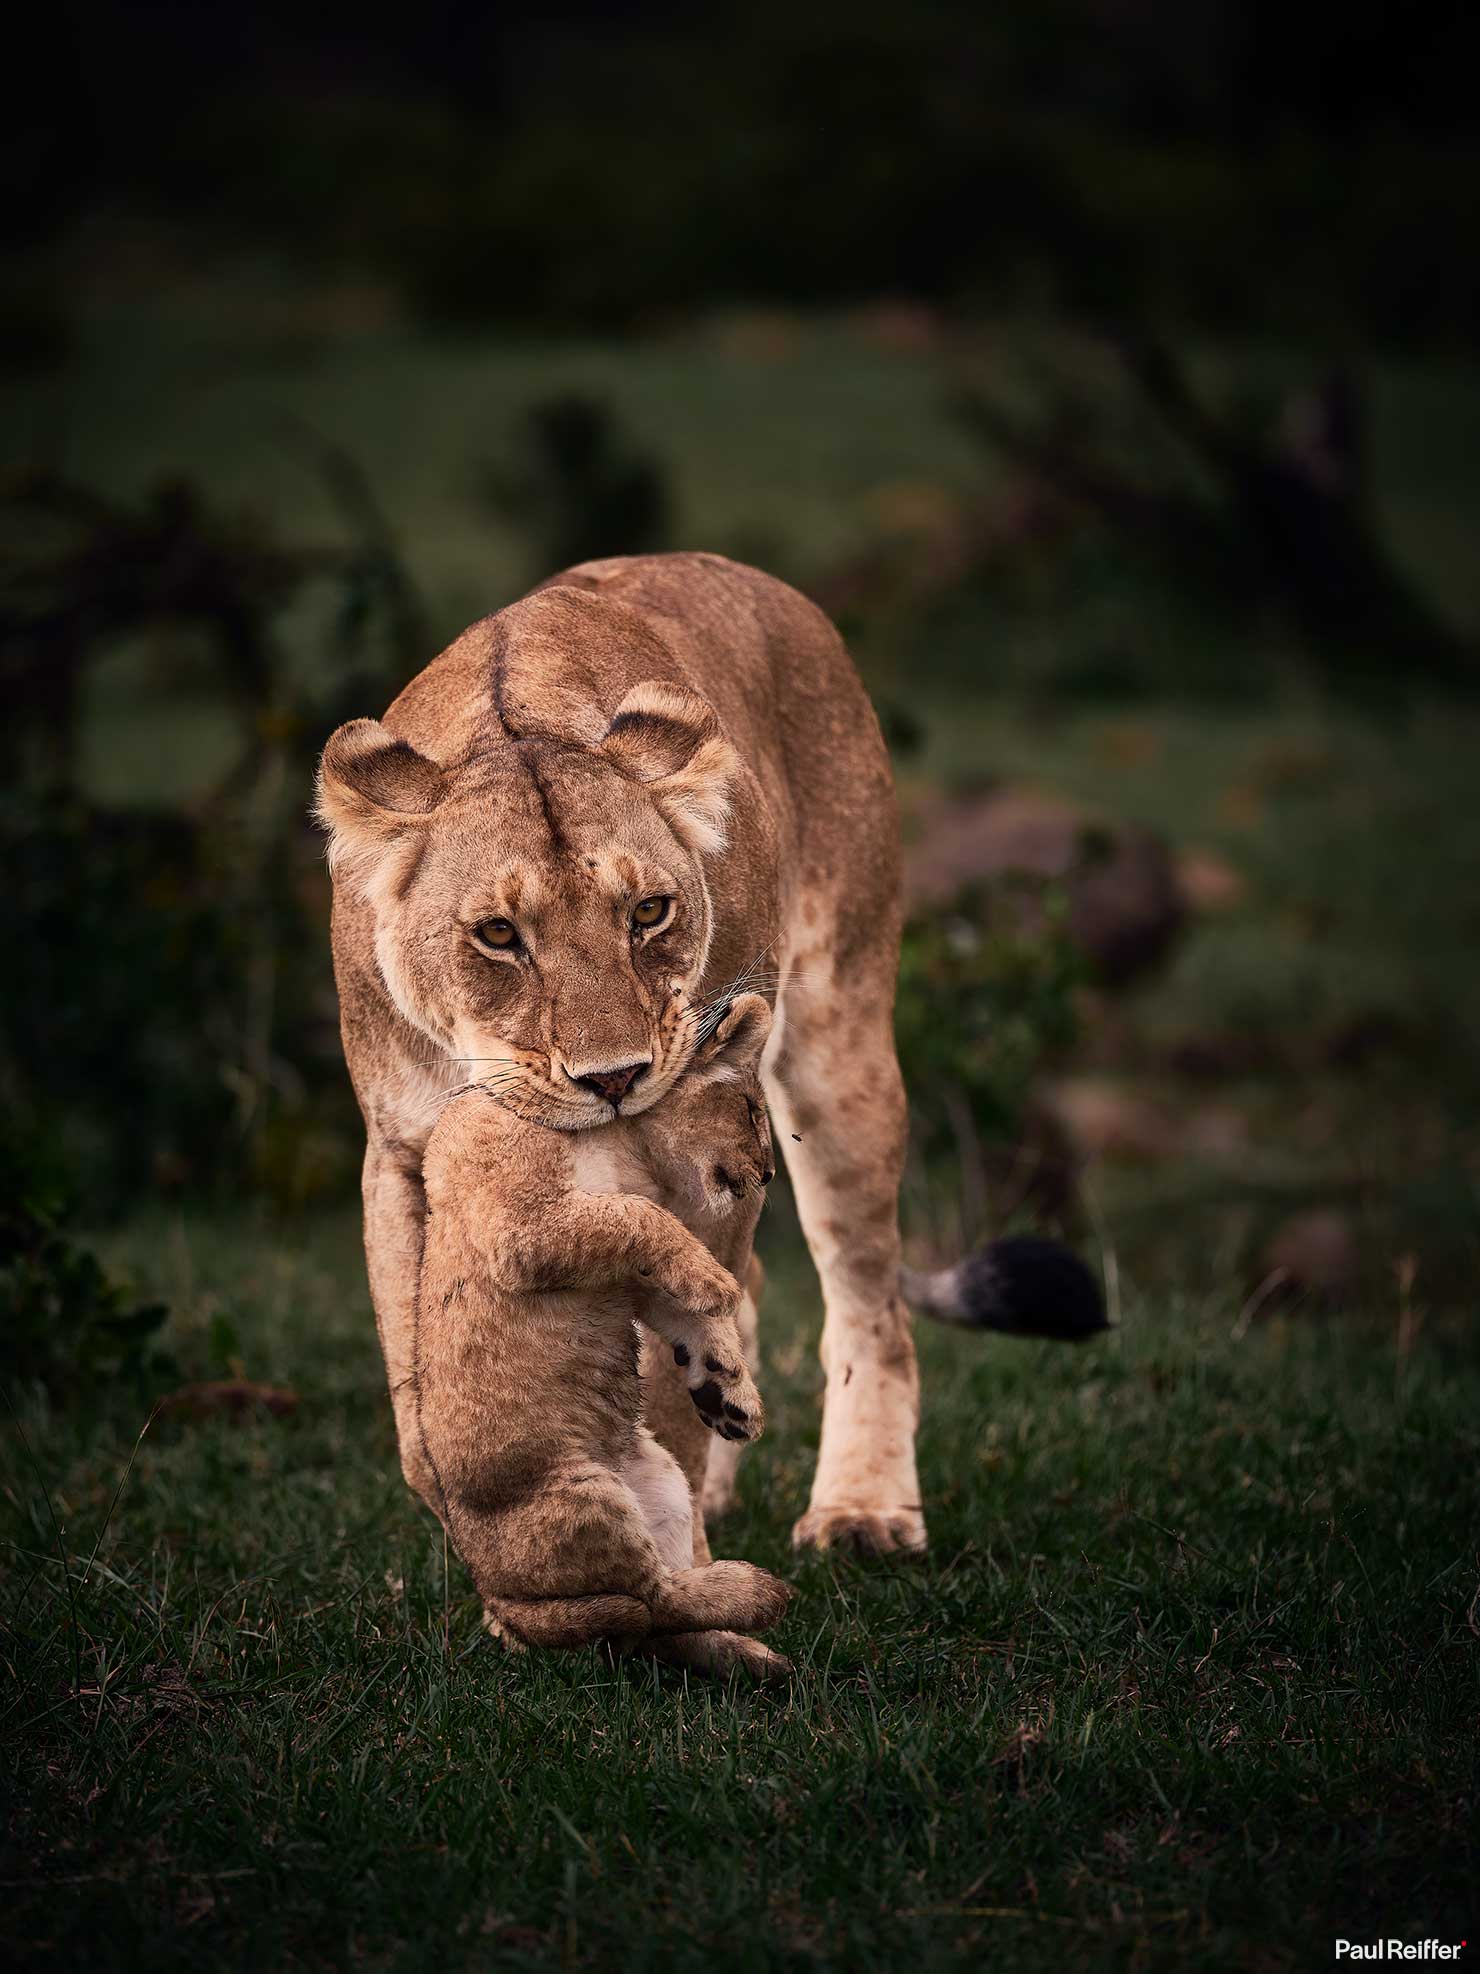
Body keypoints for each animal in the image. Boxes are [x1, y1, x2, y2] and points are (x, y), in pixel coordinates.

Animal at [318, 552, 1103, 1560]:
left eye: (649, 912)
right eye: (497, 935)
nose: (614, 1080)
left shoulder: (711, 1166)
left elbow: (676, 1367)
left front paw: (661, 1528)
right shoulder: (401, 1150)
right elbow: (416, 1356)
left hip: (839, 1047)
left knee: (869, 1303)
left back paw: (861, 1511)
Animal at [415, 991, 790, 1676]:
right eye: (752, 1112)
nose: (773, 1173)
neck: (623, 1144)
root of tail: (505, 1607)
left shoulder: (619, 1276)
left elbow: (682, 1309)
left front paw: (729, 1394)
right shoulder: (522, 1228)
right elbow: (639, 1216)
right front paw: (717, 1279)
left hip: (664, 1486)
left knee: (662, 1626)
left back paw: (748, 1657)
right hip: (580, 1494)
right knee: (648, 1598)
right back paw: (757, 1593)